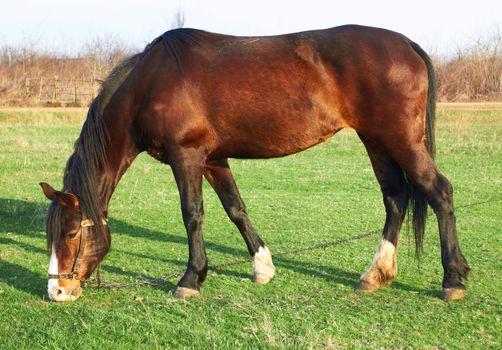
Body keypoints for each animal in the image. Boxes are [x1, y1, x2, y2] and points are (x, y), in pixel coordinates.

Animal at [40, 24, 470, 302]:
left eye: (72, 234)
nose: (58, 290)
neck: (151, 83)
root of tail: (408, 45)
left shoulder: (187, 156)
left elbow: (192, 213)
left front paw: (190, 279)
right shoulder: (213, 159)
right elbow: (236, 209)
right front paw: (262, 267)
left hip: (400, 141)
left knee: (439, 192)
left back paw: (452, 280)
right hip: (377, 141)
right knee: (396, 198)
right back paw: (376, 275)